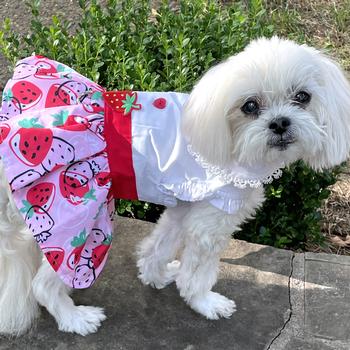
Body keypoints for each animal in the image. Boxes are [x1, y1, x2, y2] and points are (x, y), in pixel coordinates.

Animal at [0, 36, 350, 336]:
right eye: (249, 106)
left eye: (302, 97)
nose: (279, 123)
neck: (228, 138)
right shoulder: (212, 222)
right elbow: (197, 273)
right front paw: (204, 302)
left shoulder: (186, 207)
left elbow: (161, 244)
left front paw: (155, 276)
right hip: (79, 222)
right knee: (45, 283)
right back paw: (74, 319)